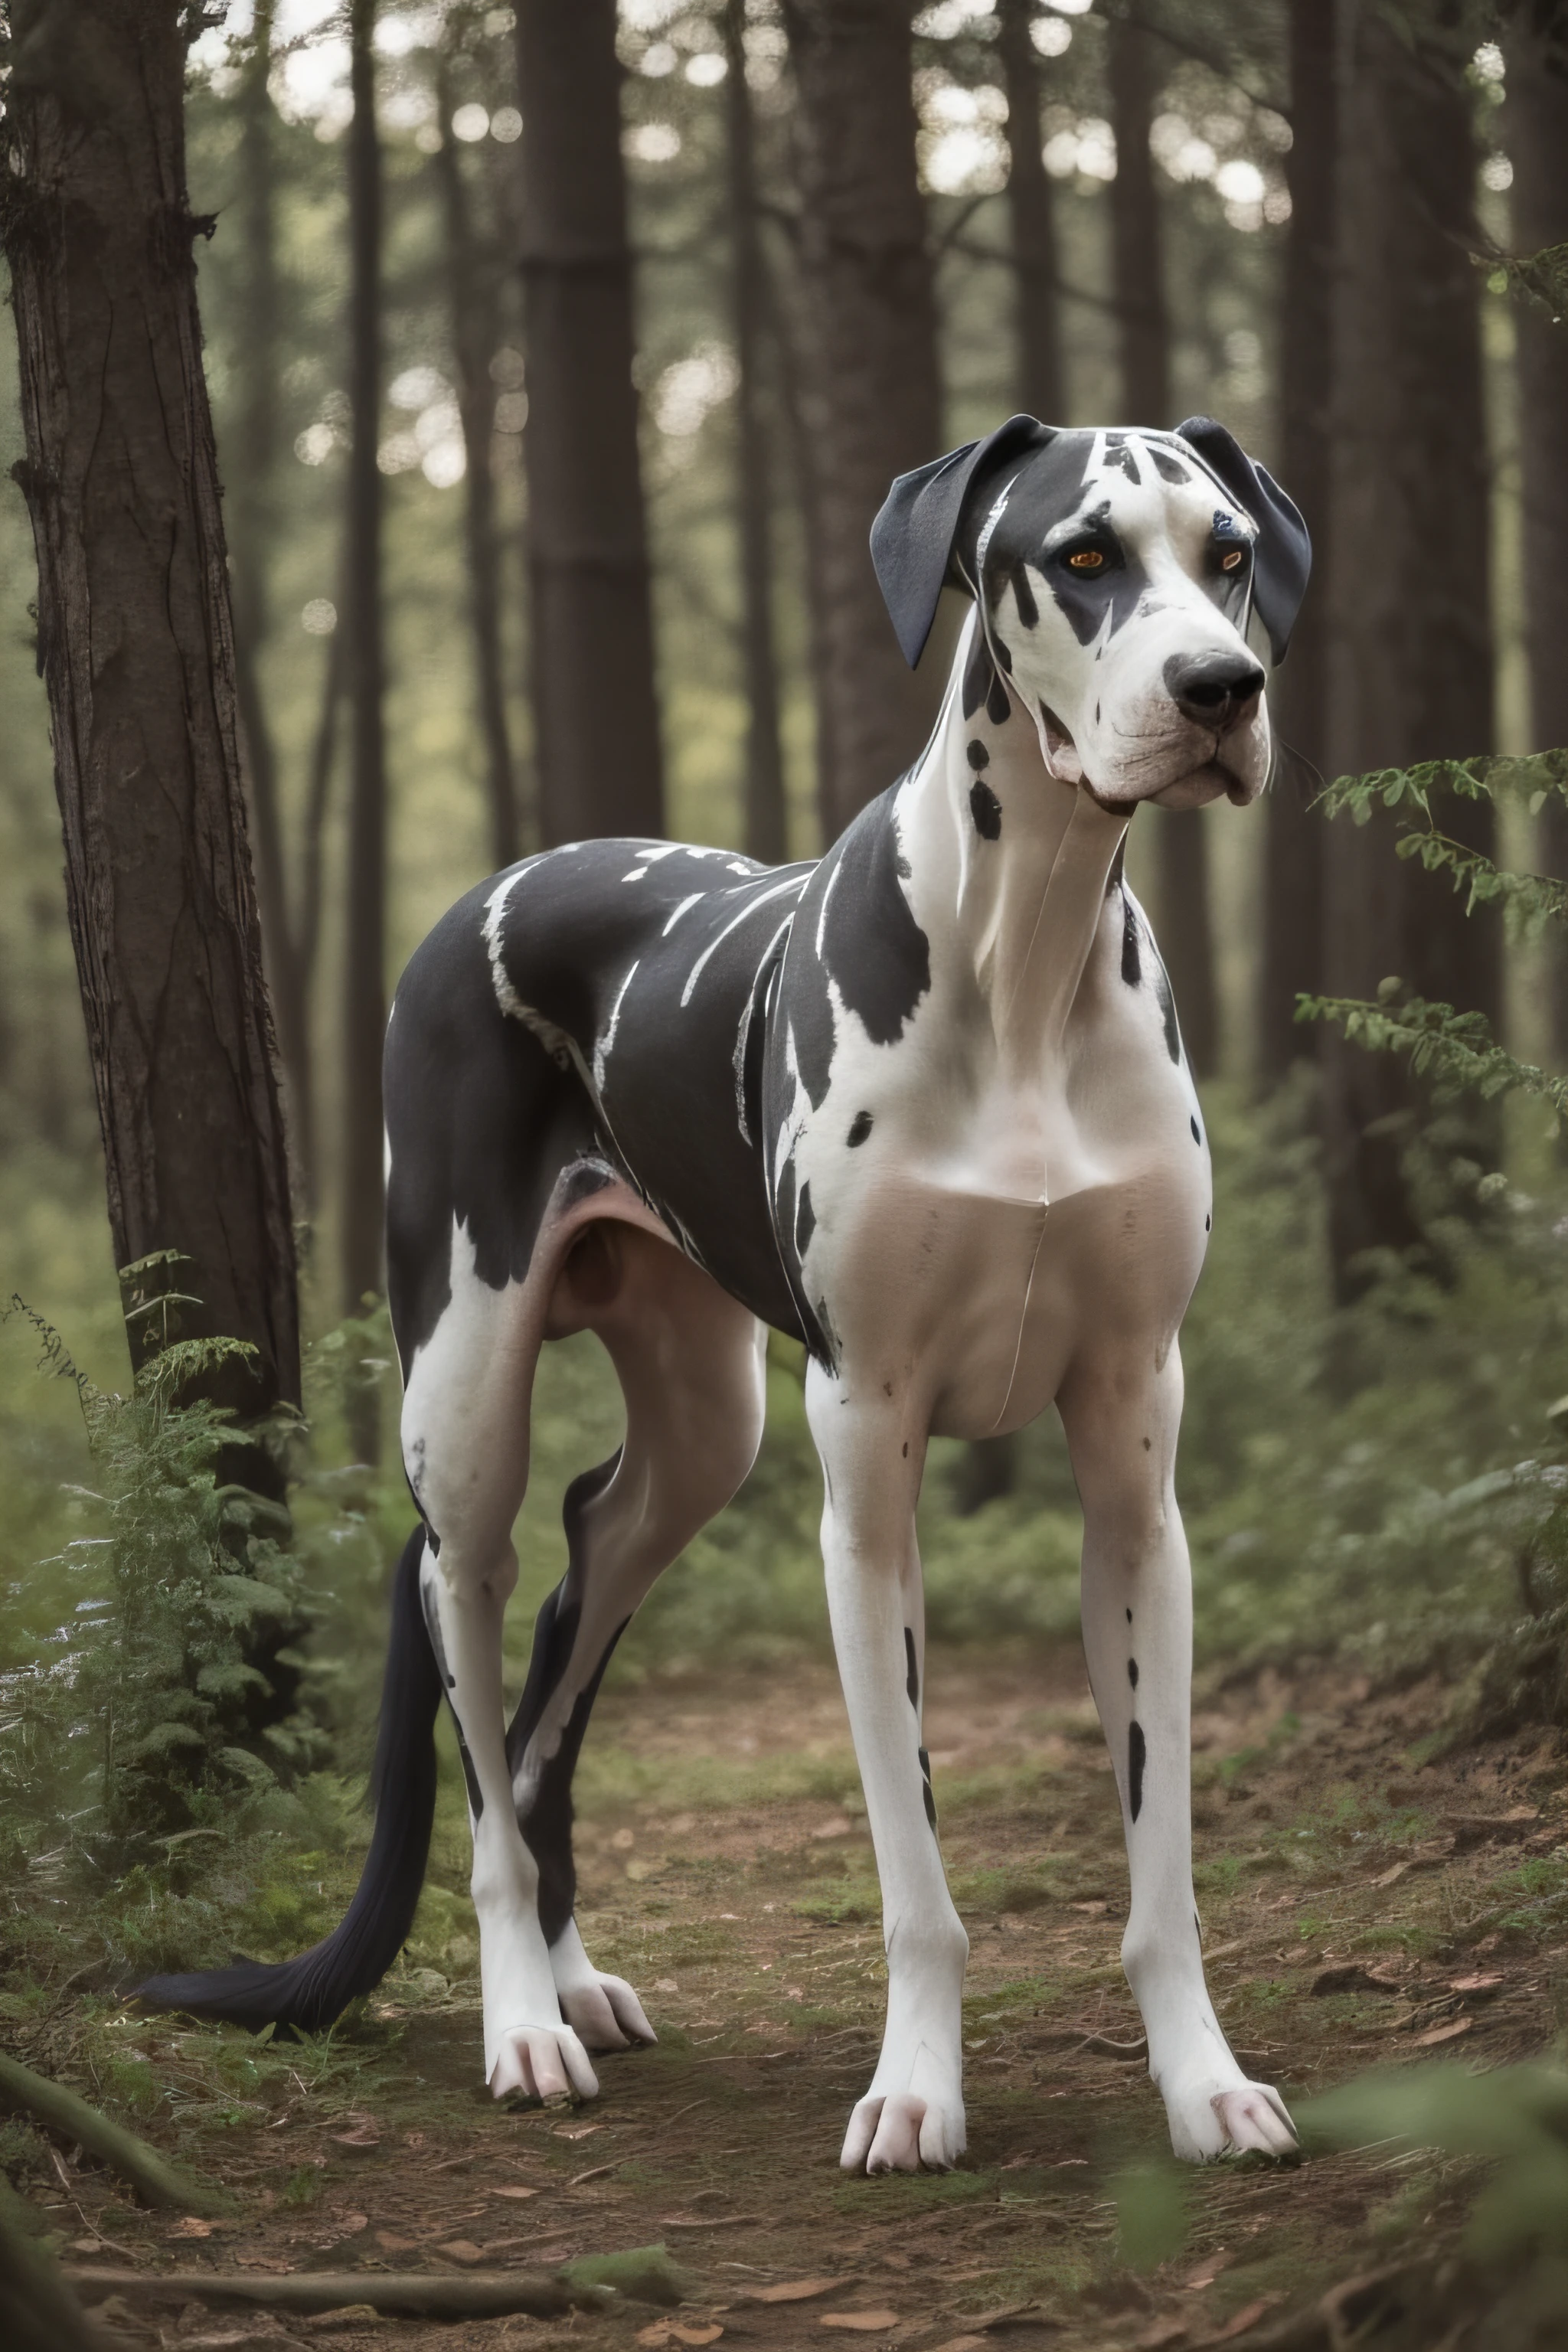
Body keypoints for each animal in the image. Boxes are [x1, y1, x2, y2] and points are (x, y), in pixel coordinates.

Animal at [144, 413, 1297, 2173]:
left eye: (1227, 553)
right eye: (1084, 554)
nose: (1220, 688)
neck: (1026, 953)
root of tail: (497, 884)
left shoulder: (1131, 1454)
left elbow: (1158, 1855)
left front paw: (1200, 2079)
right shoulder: (865, 1465)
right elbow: (913, 1877)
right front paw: (915, 2089)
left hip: (700, 1436)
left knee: (569, 1621)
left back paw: (574, 1971)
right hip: (465, 1413)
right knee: (480, 1689)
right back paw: (524, 2014)